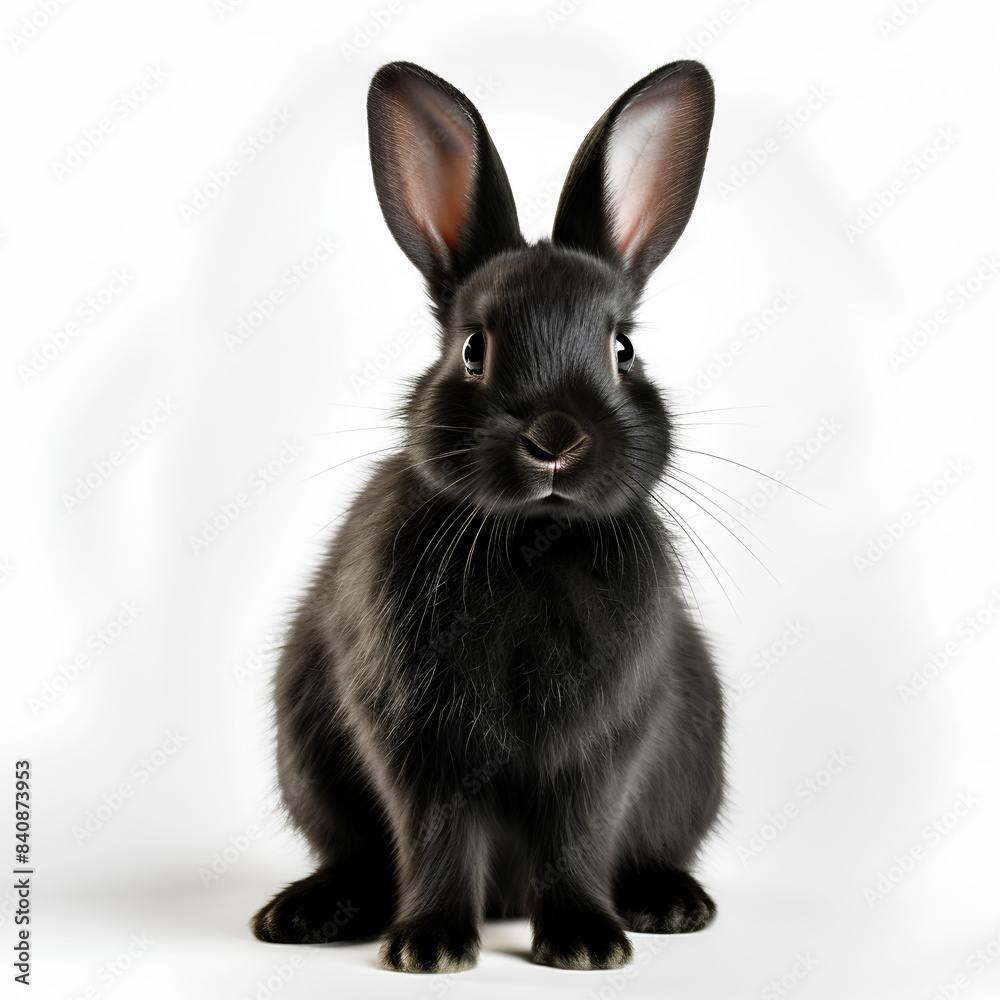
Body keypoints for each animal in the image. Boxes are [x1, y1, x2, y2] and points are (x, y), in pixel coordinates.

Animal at [251, 58, 725, 973]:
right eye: (474, 349)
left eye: (623, 349)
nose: (556, 440)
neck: (531, 541)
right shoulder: (418, 741)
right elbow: (435, 834)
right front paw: (429, 948)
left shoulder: (599, 746)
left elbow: (579, 834)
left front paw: (585, 945)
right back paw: (307, 914)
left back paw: (669, 902)